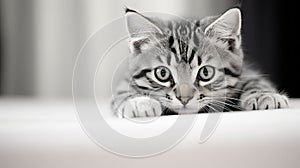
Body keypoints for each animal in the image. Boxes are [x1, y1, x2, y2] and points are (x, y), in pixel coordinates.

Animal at [111, 7, 290, 117]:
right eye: (162, 73)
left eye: (205, 72)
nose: (184, 98)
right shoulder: (126, 80)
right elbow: (123, 91)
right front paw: (138, 103)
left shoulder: (246, 72)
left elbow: (254, 80)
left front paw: (264, 95)